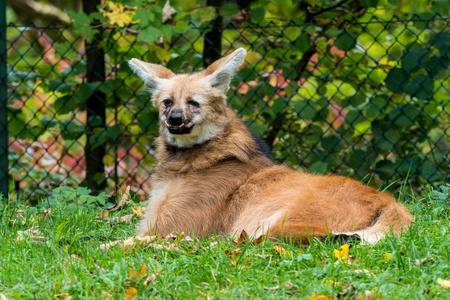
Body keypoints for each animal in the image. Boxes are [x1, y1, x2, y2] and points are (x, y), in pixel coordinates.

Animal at [127, 47, 412, 244]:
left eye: (193, 103)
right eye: (167, 102)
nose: (174, 119)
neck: (194, 157)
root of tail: (390, 202)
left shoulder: (174, 227)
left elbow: (126, 241)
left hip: (278, 224)